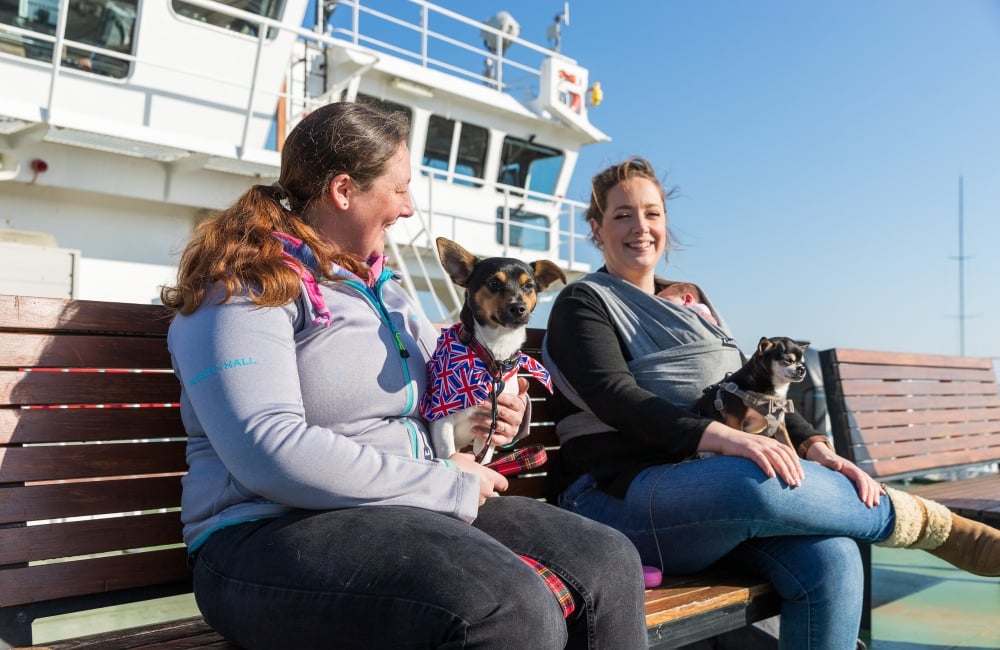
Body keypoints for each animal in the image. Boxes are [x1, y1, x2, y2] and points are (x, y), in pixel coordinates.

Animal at [418, 237, 568, 460]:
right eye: (494, 283)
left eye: (529, 285)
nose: (519, 308)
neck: (495, 356)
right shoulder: (440, 422)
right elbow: (449, 455)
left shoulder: (489, 428)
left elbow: (484, 460)